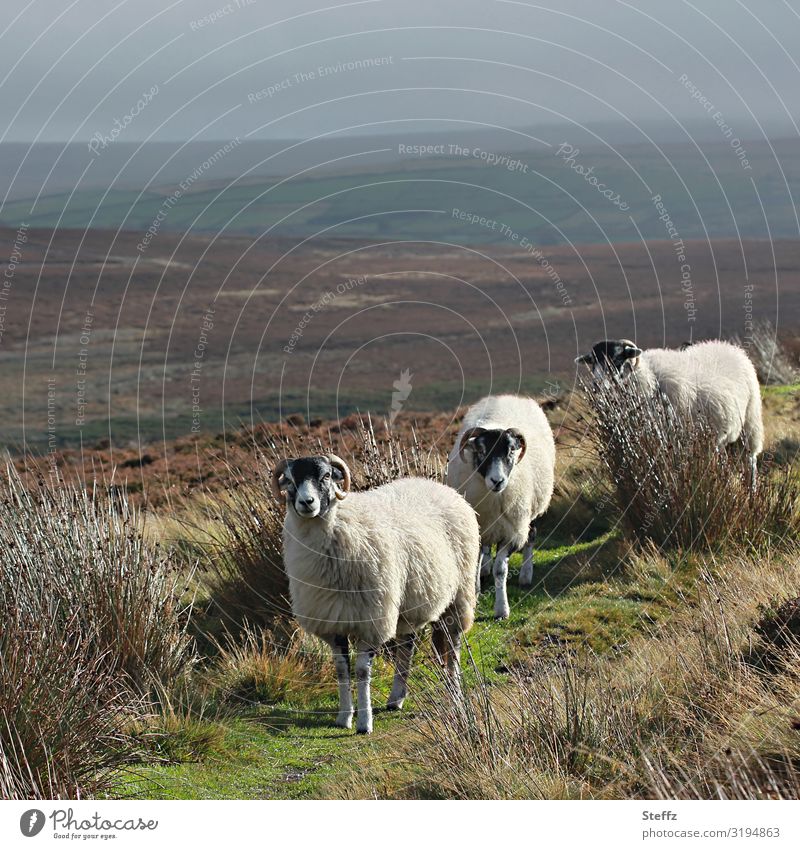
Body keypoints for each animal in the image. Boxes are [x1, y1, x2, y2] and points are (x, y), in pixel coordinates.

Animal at [272, 454, 478, 732]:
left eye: (326, 476)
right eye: (291, 480)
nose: (307, 502)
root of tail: (439, 486)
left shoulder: (371, 618)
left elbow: (361, 671)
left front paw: (364, 722)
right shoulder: (333, 620)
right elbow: (341, 670)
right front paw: (344, 717)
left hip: (459, 594)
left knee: (453, 645)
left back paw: (454, 693)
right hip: (408, 605)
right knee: (407, 646)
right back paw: (396, 698)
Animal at [444, 394, 556, 620]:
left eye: (511, 450)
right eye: (481, 450)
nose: (498, 481)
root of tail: (512, 397)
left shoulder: (511, 532)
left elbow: (501, 570)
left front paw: (502, 609)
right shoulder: (477, 526)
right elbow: (476, 561)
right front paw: (475, 592)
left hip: (531, 512)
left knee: (532, 535)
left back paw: (525, 575)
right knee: (486, 550)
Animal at [576, 340, 764, 484]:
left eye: (616, 359)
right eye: (593, 363)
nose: (596, 386)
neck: (650, 378)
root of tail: (730, 347)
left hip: (750, 420)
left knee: (750, 459)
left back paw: (752, 491)